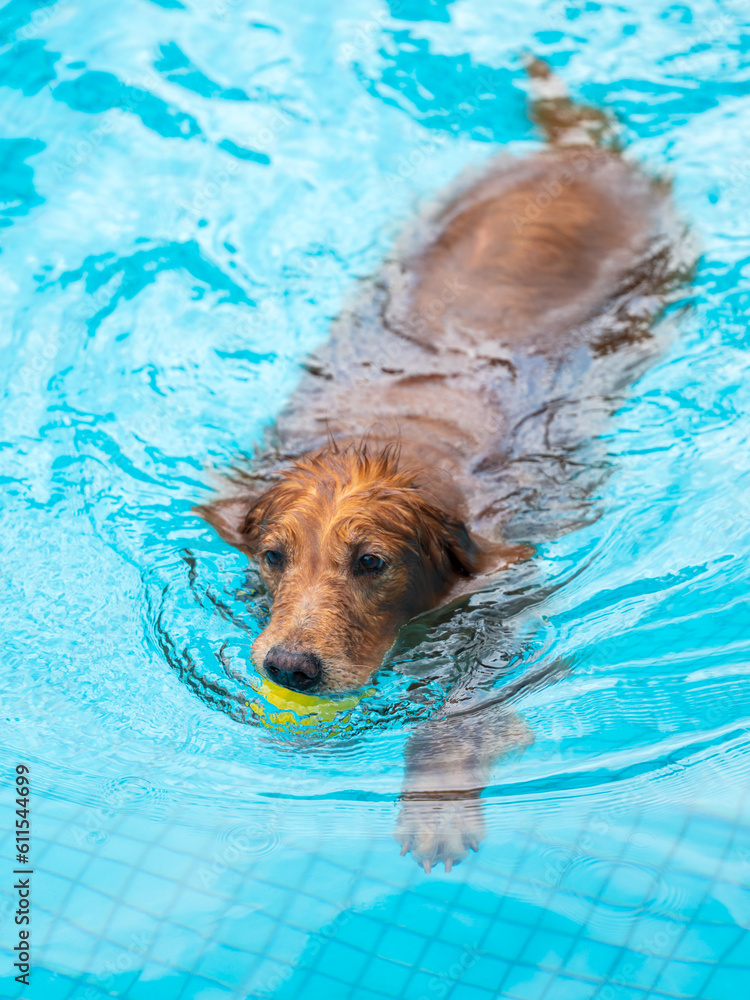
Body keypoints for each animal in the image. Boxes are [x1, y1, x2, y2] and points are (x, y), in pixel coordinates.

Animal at [197, 62, 684, 872]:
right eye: (272, 556)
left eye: (371, 562)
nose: (289, 670)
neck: (392, 439)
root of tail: (576, 154)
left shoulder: (511, 595)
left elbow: (461, 706)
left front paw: (437, 801)